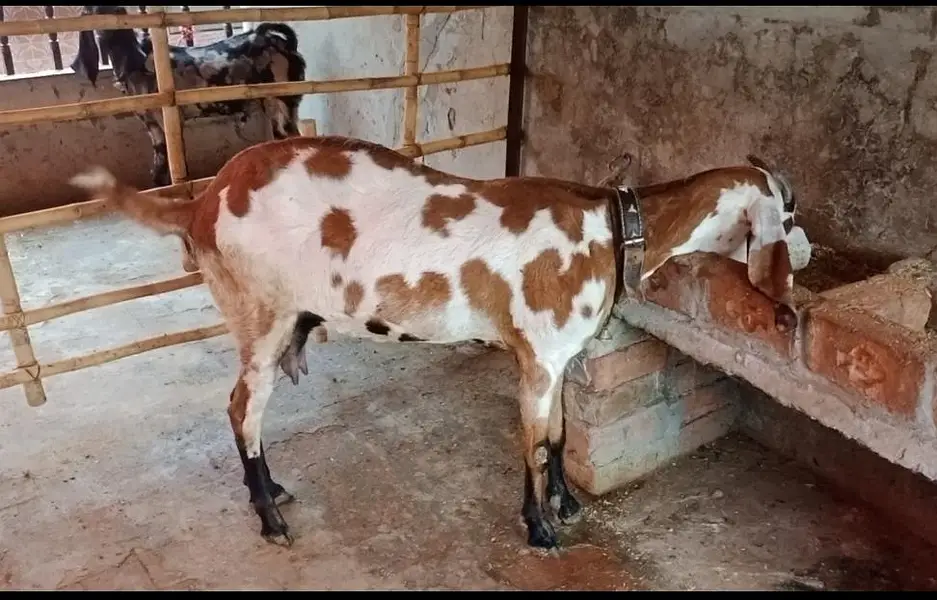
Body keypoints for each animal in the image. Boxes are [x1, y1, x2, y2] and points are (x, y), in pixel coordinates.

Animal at [70, 6, 307, 189]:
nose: (104, 36)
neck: (137, 62)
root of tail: (279, 42)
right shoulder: (152, 126)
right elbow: (159, 171)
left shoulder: (170, 121)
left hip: (285, 99)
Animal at [70, 136, 809, 550]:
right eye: (788, 209)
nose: (803, 254)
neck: (609, 228)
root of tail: (202, 199)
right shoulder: (536, 355)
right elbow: (532, 444)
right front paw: (540, 528)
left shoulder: (558, 357)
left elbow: (560, 436)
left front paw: (566, 505)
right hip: (261, 313)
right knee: (241, 410)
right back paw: (269, 519)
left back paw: (273, 492)